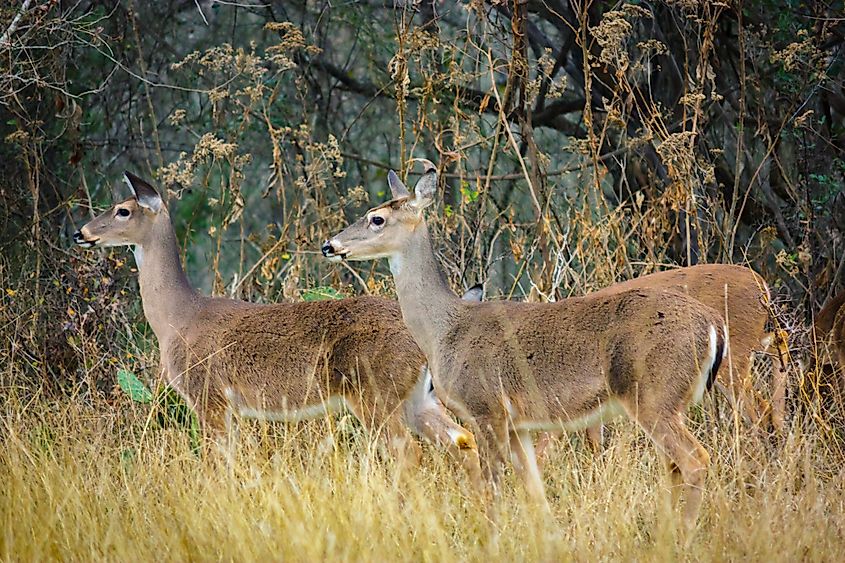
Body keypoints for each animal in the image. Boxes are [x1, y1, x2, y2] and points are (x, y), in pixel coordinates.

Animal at [73, 173, 478, 476]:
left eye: (123, 210)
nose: (81, 232)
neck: (177, 318)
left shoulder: (208, 394)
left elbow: (214, 466)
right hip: (417, 397)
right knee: (464, 442)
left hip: (375, 393)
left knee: (408, 453)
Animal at [322, 160, 724, 532]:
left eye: (376, 219)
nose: (329, 245)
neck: (444, 330)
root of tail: (712, 325)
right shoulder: (520, 424)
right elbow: (535, 491)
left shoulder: (486, 408)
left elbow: (493, 488)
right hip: (668, 401)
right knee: (676, 464)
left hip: (653, 395)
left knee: (696, 460)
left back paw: (683, 536)